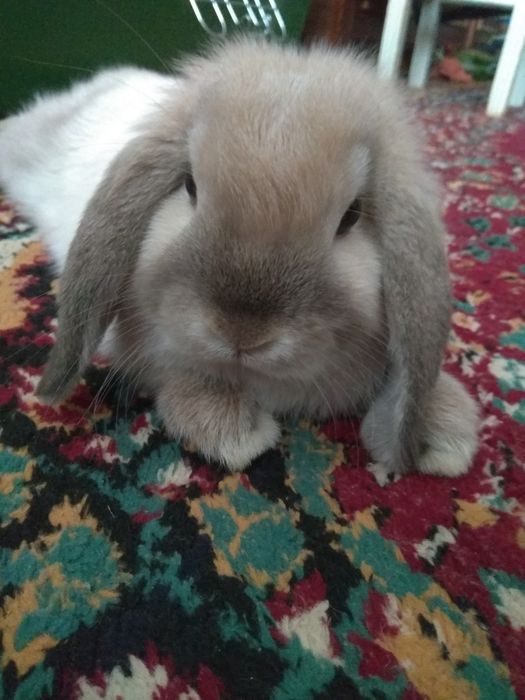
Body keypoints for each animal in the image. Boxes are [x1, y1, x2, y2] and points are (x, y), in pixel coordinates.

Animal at [0, 38, 479, 475]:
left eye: (352, 215)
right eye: (189, 185)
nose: (242, 334)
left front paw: (445, 430)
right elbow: (181, 383)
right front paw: (236, 432)